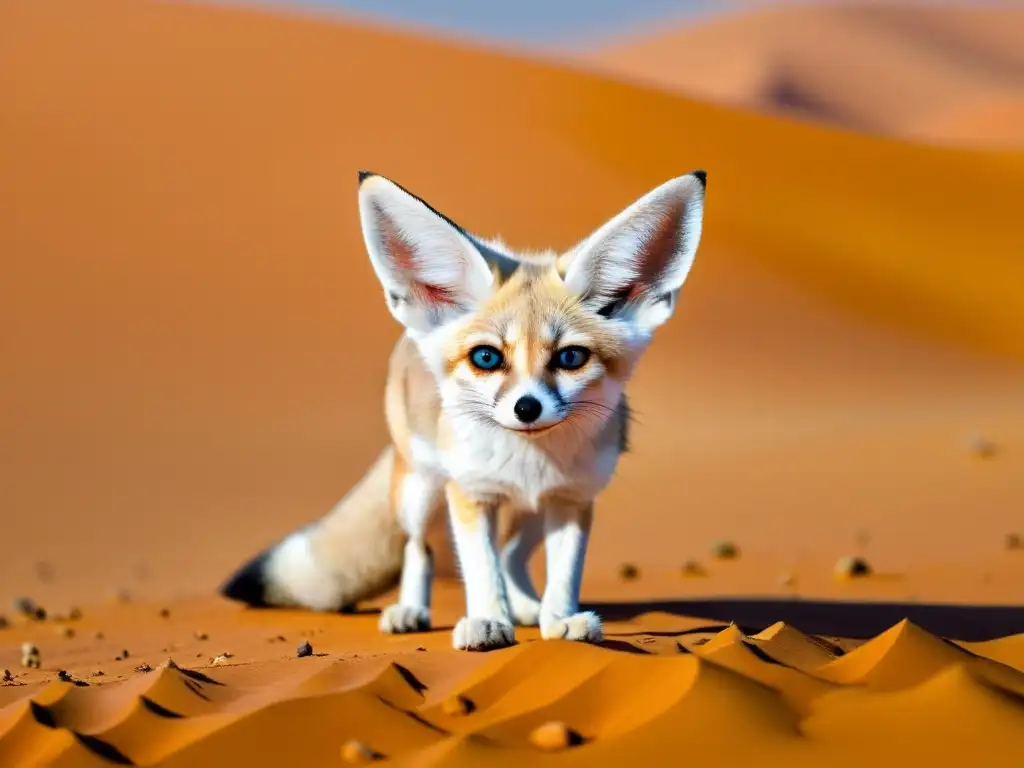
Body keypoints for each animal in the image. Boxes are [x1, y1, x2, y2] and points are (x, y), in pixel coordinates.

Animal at [221, 169, 708, 651]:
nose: (527, 408)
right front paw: (489, 621)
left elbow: (563, 574)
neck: (529, 462)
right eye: (487, 358)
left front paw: (558, 621)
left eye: (570, 358)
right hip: (422, 492)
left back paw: (527, 609)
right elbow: (480, 569)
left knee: (511, 556)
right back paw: (412, 611)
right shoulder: (471, 494)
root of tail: (411, 336)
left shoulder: (571, 498)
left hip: (530, 512)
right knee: (419, 549)